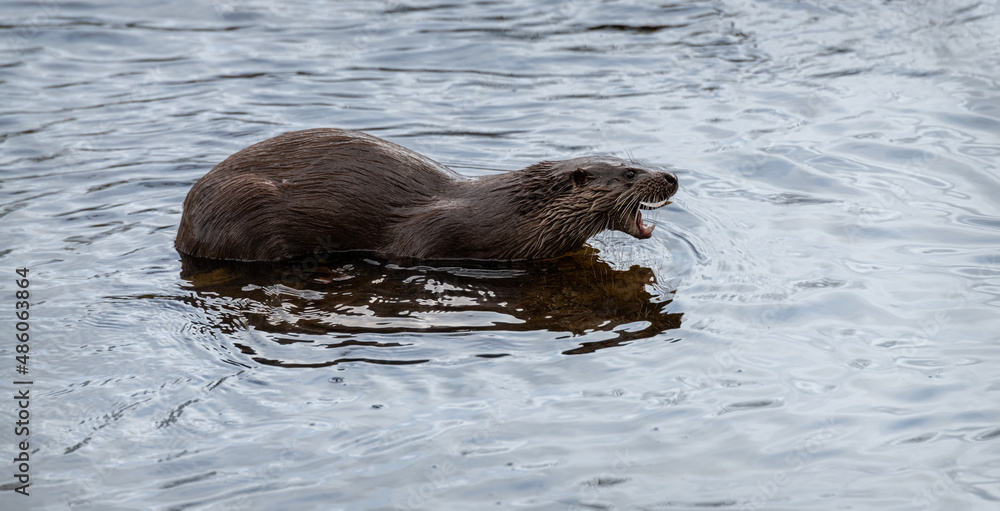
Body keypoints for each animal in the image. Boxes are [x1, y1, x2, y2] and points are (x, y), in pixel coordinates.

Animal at [176, 128, 678, 262]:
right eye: (630, 172)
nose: (671, 176)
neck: (509, 215)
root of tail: (183, 227)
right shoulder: (432, 237)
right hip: (244, 204)